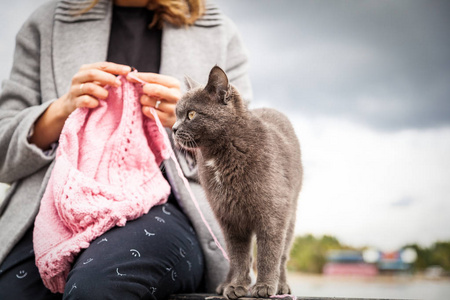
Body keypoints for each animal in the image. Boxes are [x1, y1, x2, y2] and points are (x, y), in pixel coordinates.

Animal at [172, 67, 302, 298]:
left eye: (191, 114)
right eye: (177, 114)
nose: (173, 128)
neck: (219, 155)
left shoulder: (273, 212)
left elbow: (269, 252)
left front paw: (264, 286)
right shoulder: (230, 217)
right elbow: (239, 256)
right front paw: (236, 286)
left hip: (291, 211)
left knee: (283, 253)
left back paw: (281, 285)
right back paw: (226, 284)